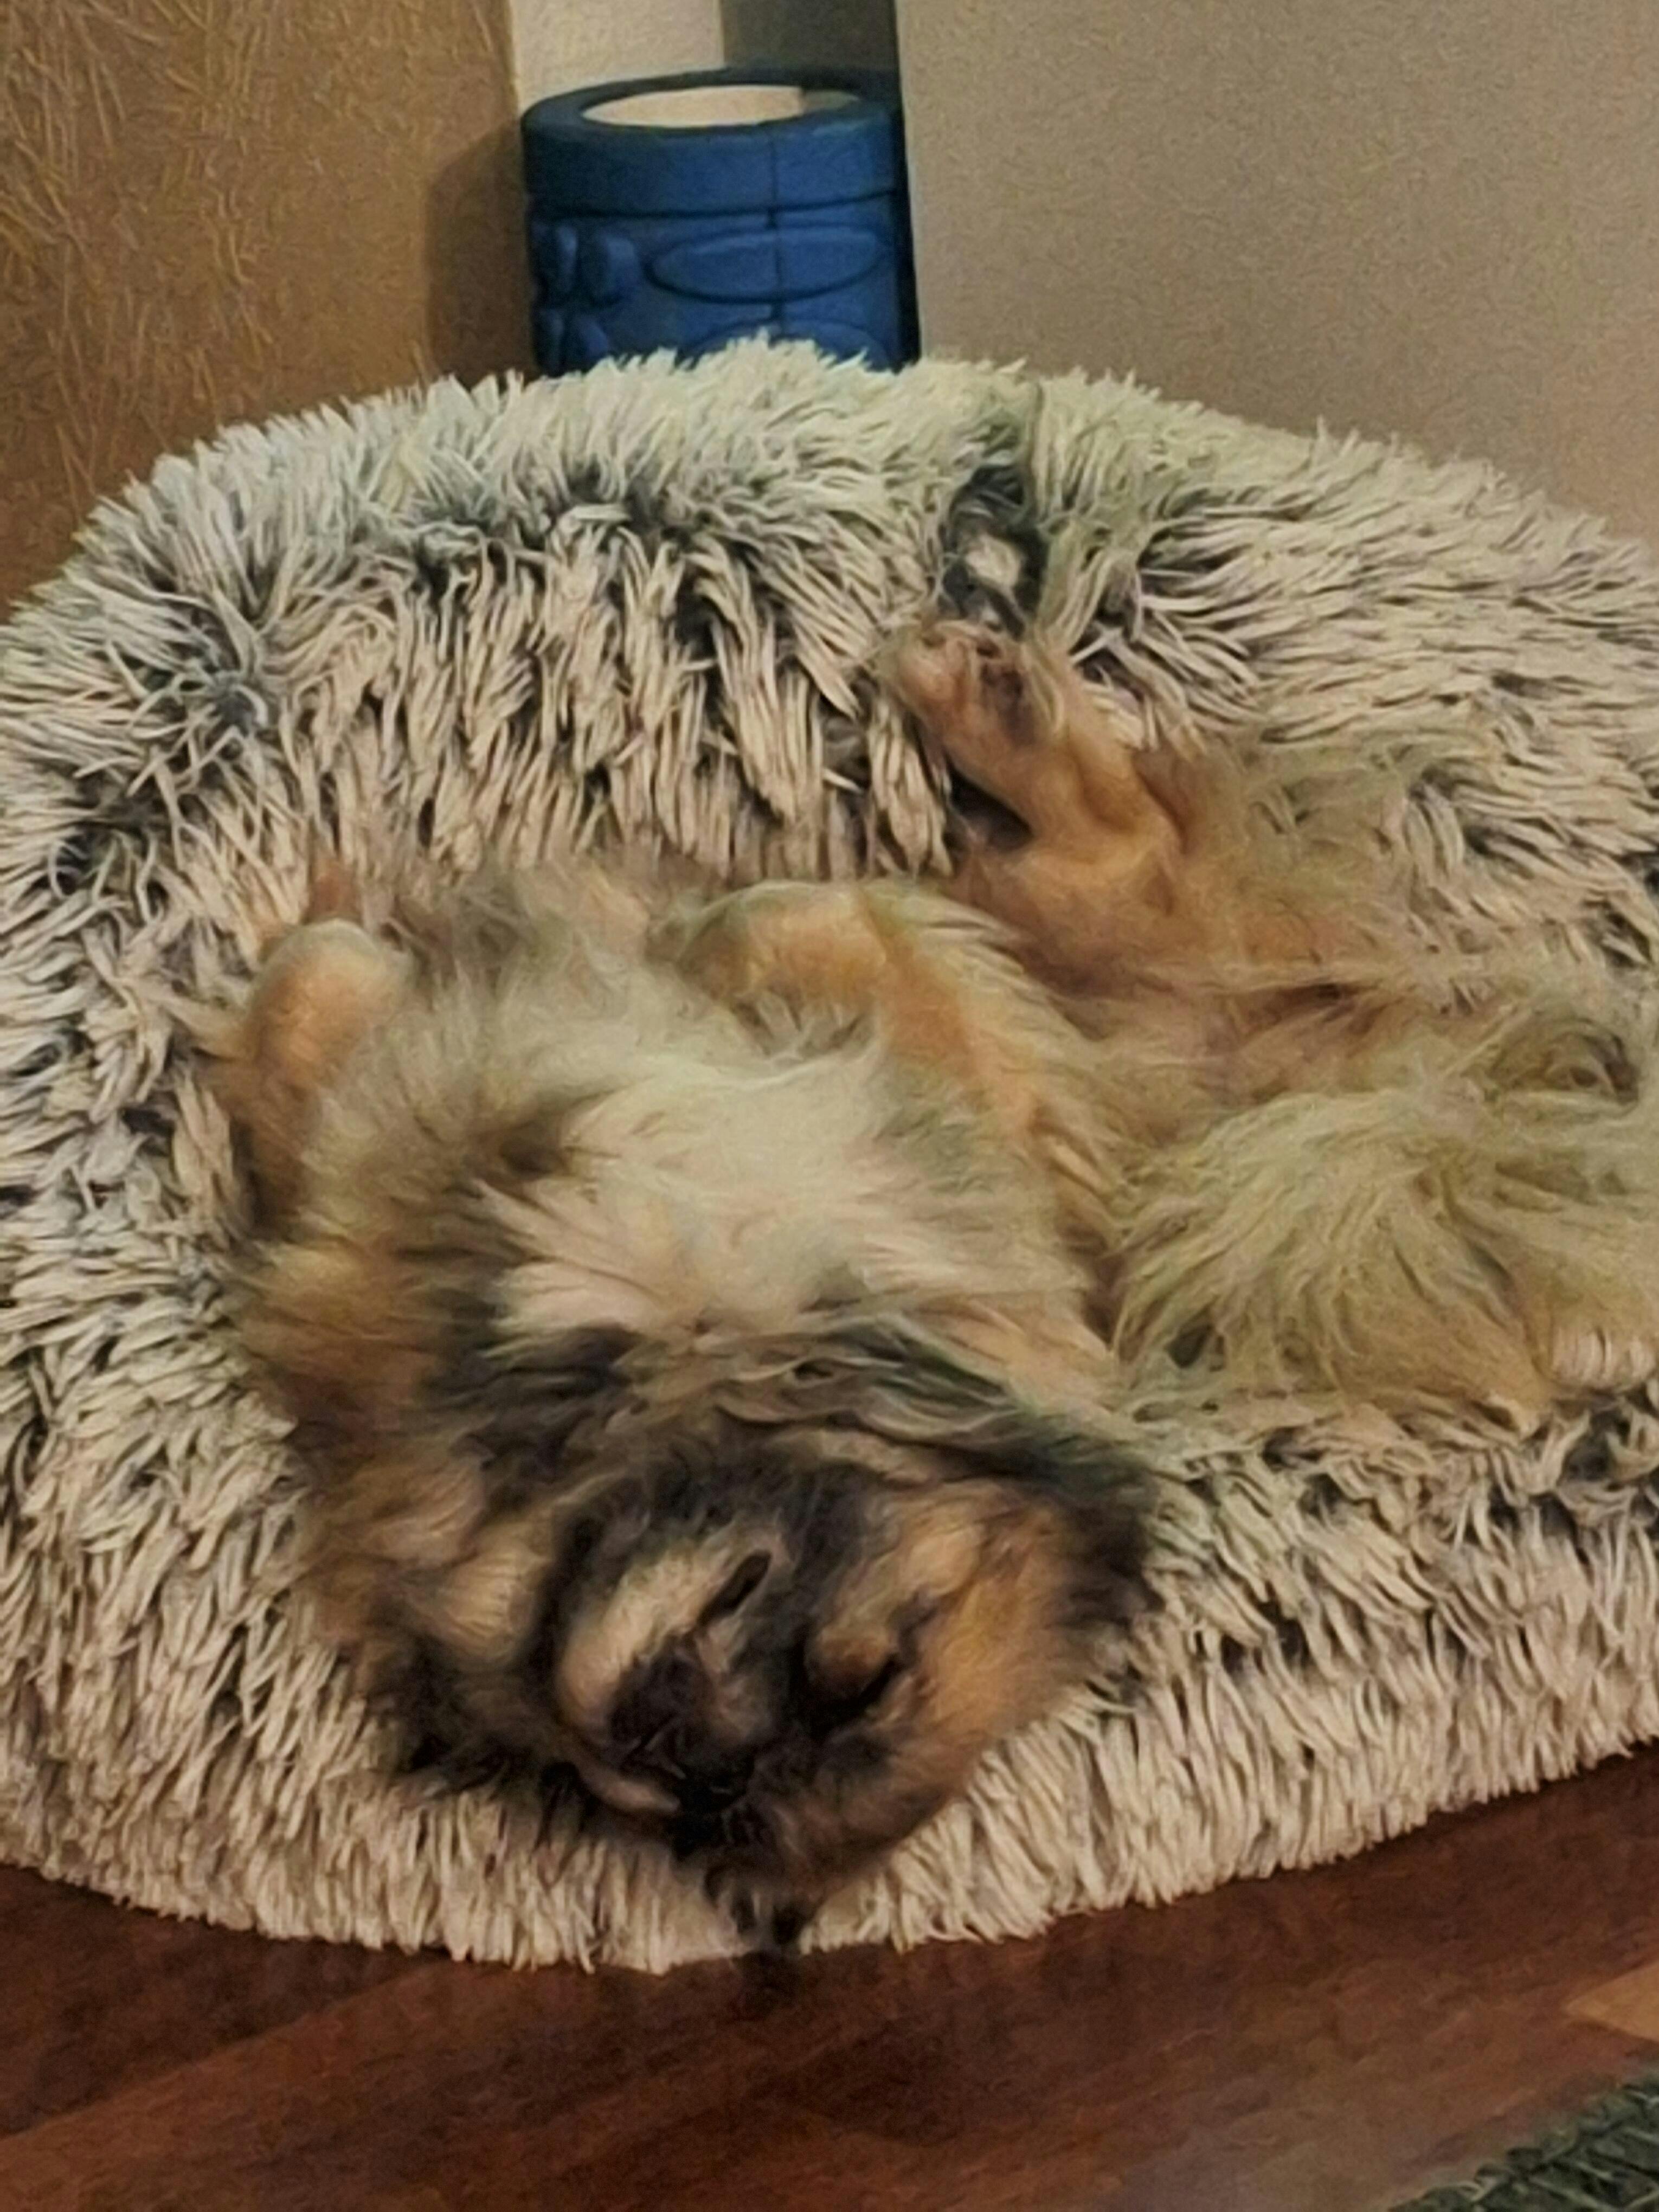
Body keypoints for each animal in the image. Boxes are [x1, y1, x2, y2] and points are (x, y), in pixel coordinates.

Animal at [205, 621, 1659, 1939]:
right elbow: (313, 987)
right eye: (694, 1801)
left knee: (1126, 866)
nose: (697, 1742)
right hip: (1095, 946)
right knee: (1116, 861)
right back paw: (995, 705)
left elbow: (786, 947)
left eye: (858, 1686)